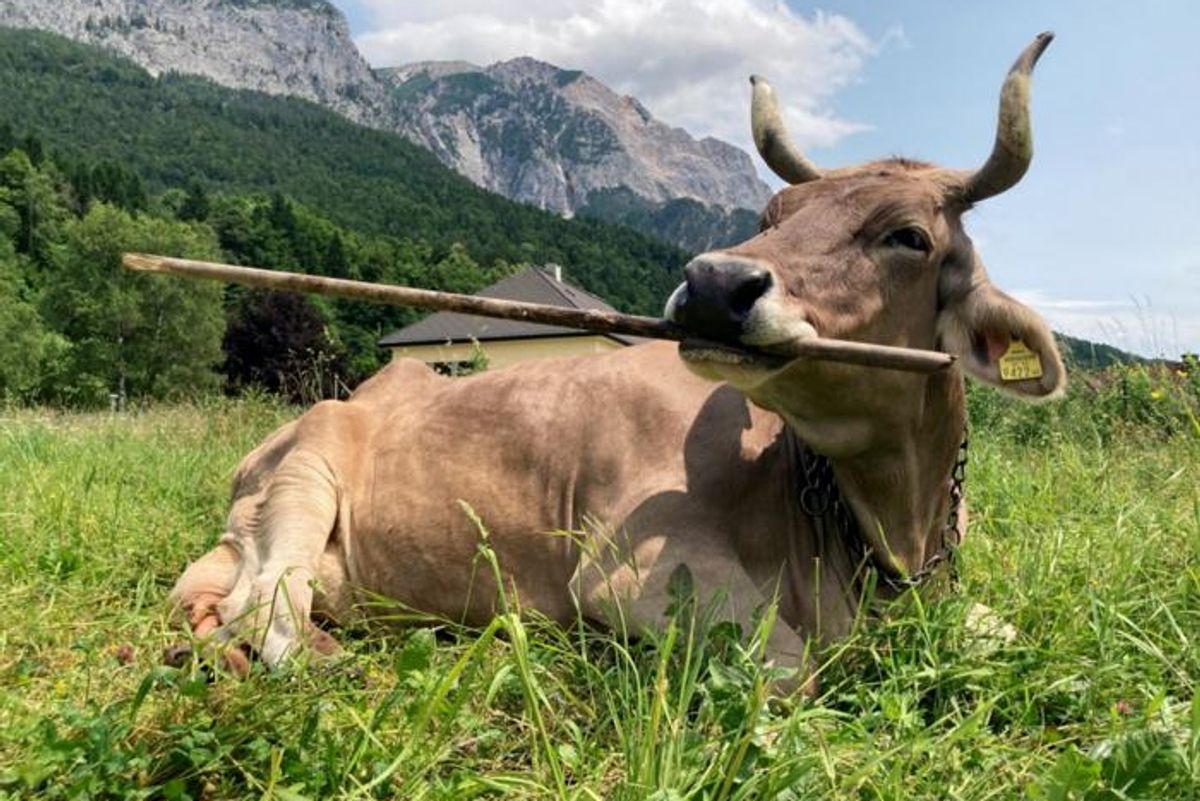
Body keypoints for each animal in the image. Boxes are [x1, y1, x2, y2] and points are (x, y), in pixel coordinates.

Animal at [169, 33, 1065, 688]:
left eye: (908, 235)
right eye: (772, 214)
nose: (714, 284)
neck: (888, 529)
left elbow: (1014, 633)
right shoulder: (632, 574)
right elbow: (792, 669)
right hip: (306, 474)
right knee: (268, 608)